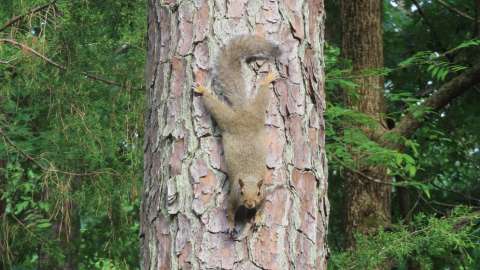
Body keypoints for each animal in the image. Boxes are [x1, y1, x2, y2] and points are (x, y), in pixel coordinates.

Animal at [193, 34, 280, 235]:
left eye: (257, 193)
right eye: (241, 192)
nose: (249, 204)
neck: (249, 177)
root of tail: (242, 111)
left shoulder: (264, 196)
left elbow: (263, 208)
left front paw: (257, 219)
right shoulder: (232, 197)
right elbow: (229, 212)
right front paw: (232, 225)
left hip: (255, 113)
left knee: (260, 96)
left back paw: (267, 80)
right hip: (229, 118)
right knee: (216, 105)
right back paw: (204, 91)